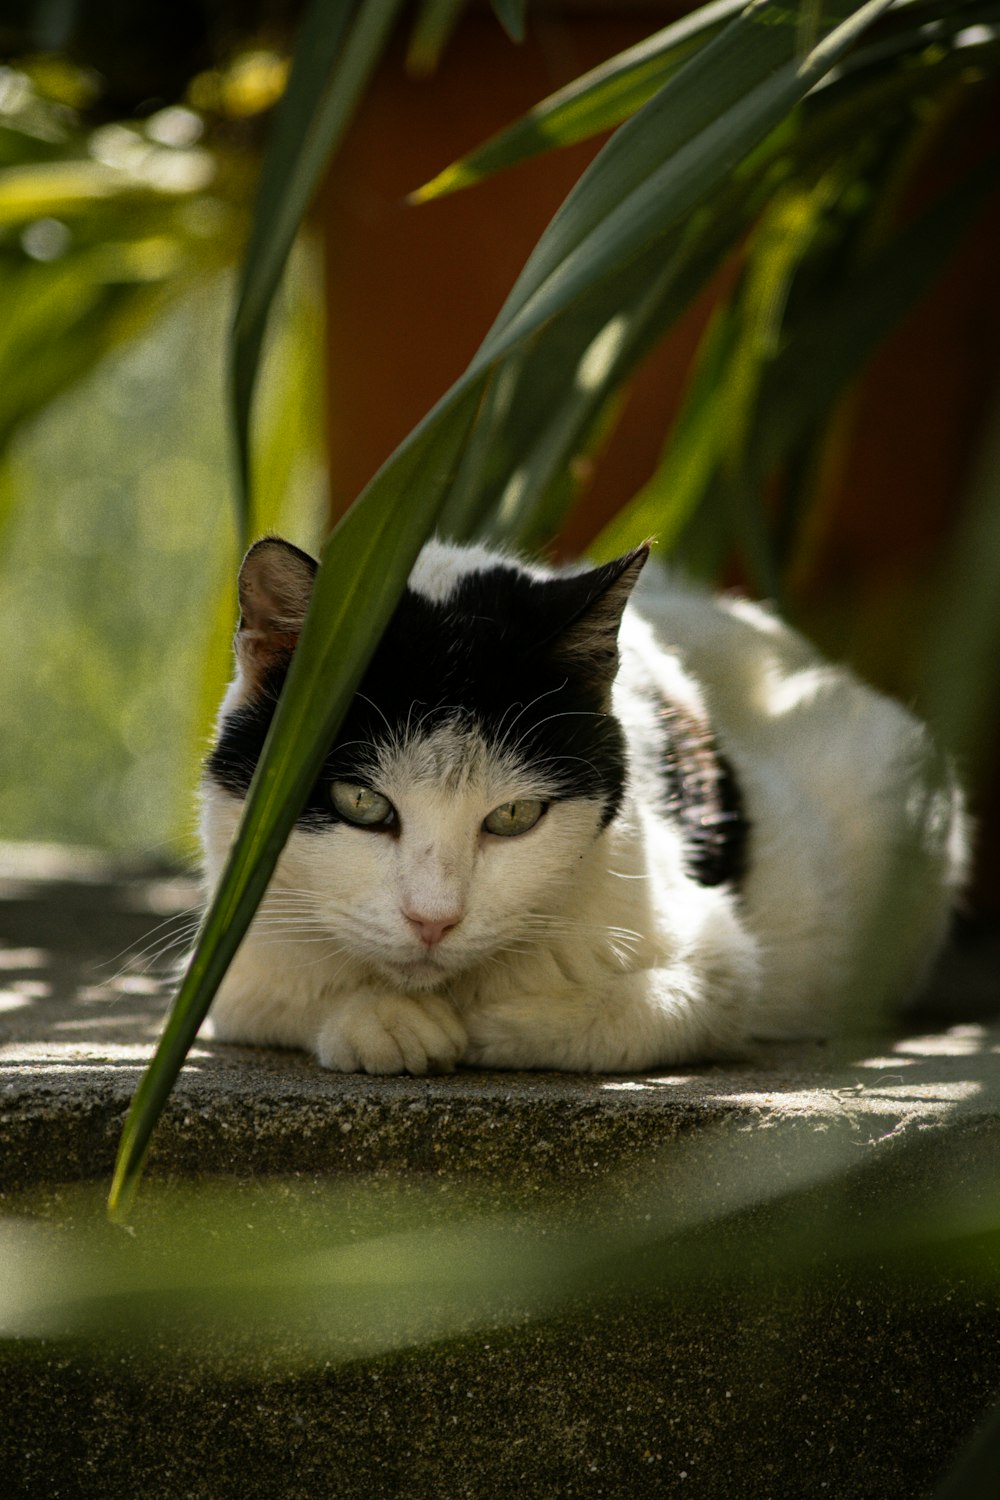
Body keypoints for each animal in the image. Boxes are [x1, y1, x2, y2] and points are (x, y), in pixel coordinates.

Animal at [197, 540, 971, 1080]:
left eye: (514, 817)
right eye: (362, 802)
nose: (433, 922)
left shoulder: (719, 962)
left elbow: (642, 1014)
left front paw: (491, 1022)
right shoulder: (235, 944)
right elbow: (274, 997)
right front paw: (382, 1020)